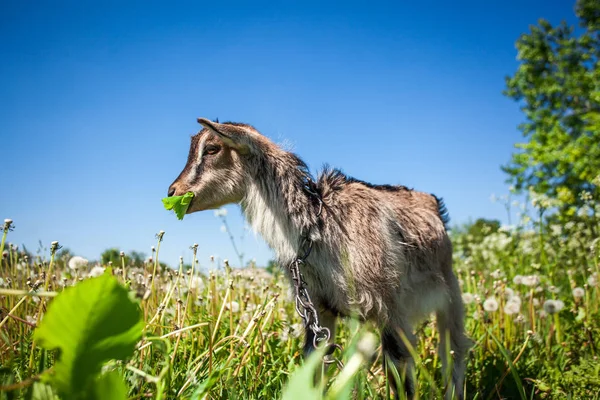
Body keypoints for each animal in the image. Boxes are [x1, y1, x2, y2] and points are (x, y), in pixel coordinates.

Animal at [166, 117, 472, 398]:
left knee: (454, 353)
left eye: (212, 148)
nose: (173, 191)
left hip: (451, 294)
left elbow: (400, 377)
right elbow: (315, 370)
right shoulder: (318, 308)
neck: (318, 227)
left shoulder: (391, 307)